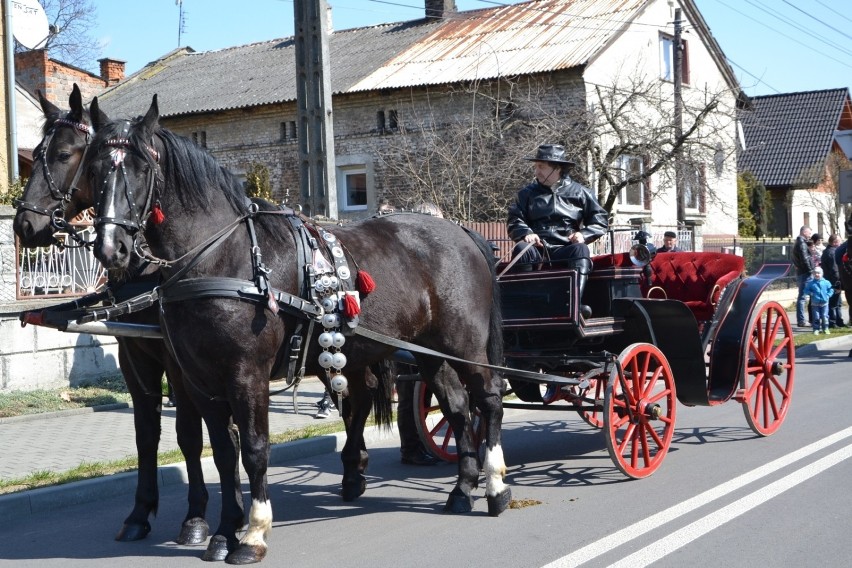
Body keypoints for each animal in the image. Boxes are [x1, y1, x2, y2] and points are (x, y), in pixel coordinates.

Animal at [12, 85, 223, 544]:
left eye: (64, 154)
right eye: (35, 153)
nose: (23, 225)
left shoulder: (178, 360)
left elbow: (188, 432)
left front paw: (196, 517)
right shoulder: (134, 356)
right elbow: (146, 434)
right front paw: (140, 512)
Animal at [87, 95, 512, 560]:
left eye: (142, 167)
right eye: (93, 168)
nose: (111, 248)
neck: (221, 257)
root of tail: (462, 232)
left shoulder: (246, 375)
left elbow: (254, 449)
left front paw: (253, 533)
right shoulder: (200, 381)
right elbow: (223, 452)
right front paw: (223, 531)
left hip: (464, 345)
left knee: (488, 399)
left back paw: (496, 488)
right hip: (427, 352)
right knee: (455, 407)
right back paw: (461, 490)